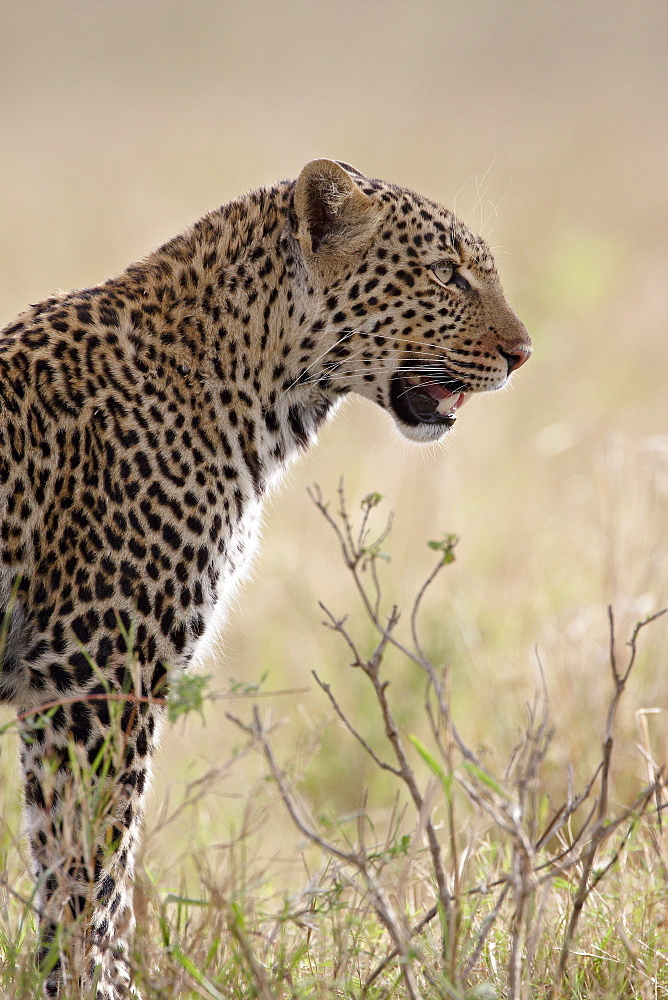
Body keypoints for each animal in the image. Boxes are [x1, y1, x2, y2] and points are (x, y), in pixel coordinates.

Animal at [0, 160, 532, 996]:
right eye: (445, 274)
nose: (523, 352)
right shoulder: (94, 680)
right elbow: (94, 880)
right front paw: (100, 988)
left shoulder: (72, 689)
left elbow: (77, 877)